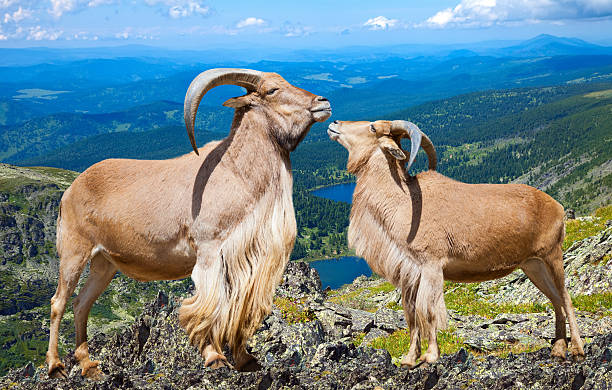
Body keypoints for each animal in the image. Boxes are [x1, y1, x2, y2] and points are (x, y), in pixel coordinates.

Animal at [45, 68, 332, 380]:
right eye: (271, 90)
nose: (323, 102)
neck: (235, 173)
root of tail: (70, 191)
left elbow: (238, 307)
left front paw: (245, 359)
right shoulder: (210, 251)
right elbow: (210, 305)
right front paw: (214, 358)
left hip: (104, 263)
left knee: (81, 304)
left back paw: (88, 365)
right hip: (74, 252)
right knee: (59, 302)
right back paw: (55, 365)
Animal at [328, 119, 584, 366]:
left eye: (372, 127)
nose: (335, 124)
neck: (405, 202)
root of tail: (557, 206)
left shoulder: (431, 265)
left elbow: (427, 310)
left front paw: (430, 355)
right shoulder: (410, 272)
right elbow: (411, 314)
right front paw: (409, 359)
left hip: (553, 255)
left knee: (566, 298)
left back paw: (577, 349)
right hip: (533, 265)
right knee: (555, 300)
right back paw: (558, 350)